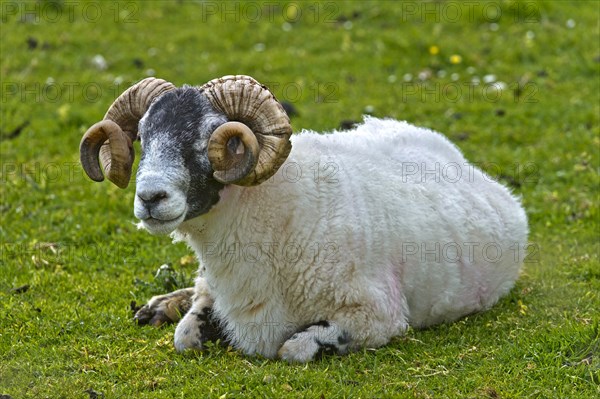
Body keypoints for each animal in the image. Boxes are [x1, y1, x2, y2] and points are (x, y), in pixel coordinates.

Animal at [81, 75, 528, 362]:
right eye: (143, 135)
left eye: (212, 137)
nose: (150, 197)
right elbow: (186, 336)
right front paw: (176, 312)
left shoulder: (378, 316)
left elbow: (292, 348)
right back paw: (159, 304)